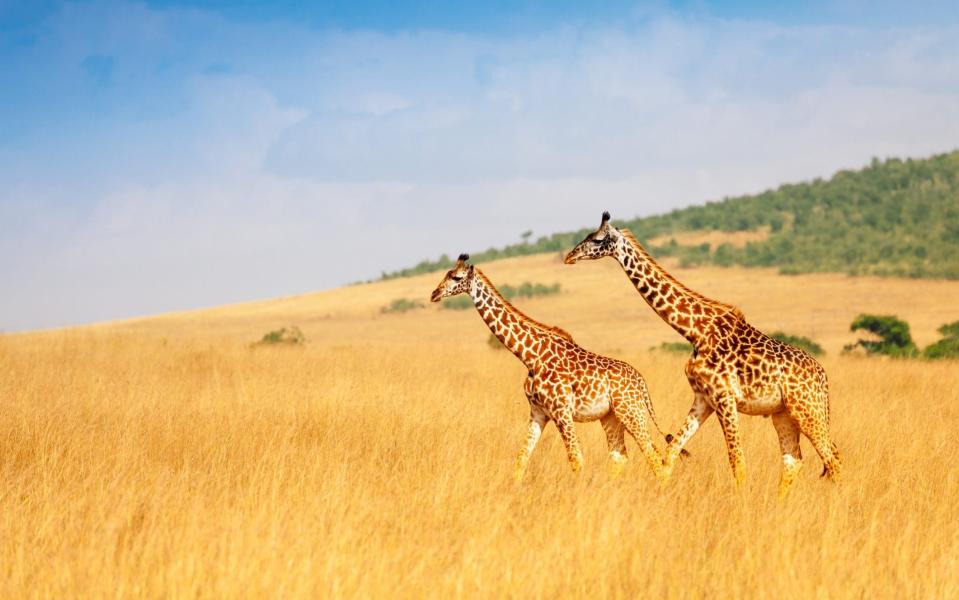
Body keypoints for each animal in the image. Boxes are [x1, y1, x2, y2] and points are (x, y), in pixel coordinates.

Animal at [432, 253, 680, 482]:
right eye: (446, 274)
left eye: (456, 277)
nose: (434, 294)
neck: (530, 356)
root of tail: (641, 382)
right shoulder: (538, 413)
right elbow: (522, 457)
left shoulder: (562, 411)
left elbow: (576, 459)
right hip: (611, 416)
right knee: (620, 456)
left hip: (631, 411)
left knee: (654, 456)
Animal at [568, 212, 844, 496]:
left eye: (597, 238)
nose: (569, 256)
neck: (695, 331)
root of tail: (823, 377)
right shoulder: (703, 398)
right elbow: (672, 449)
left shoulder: (724, 397)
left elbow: (736, 459)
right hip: (783, 413)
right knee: (794, 460)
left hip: (806, 409)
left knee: (832, 457)